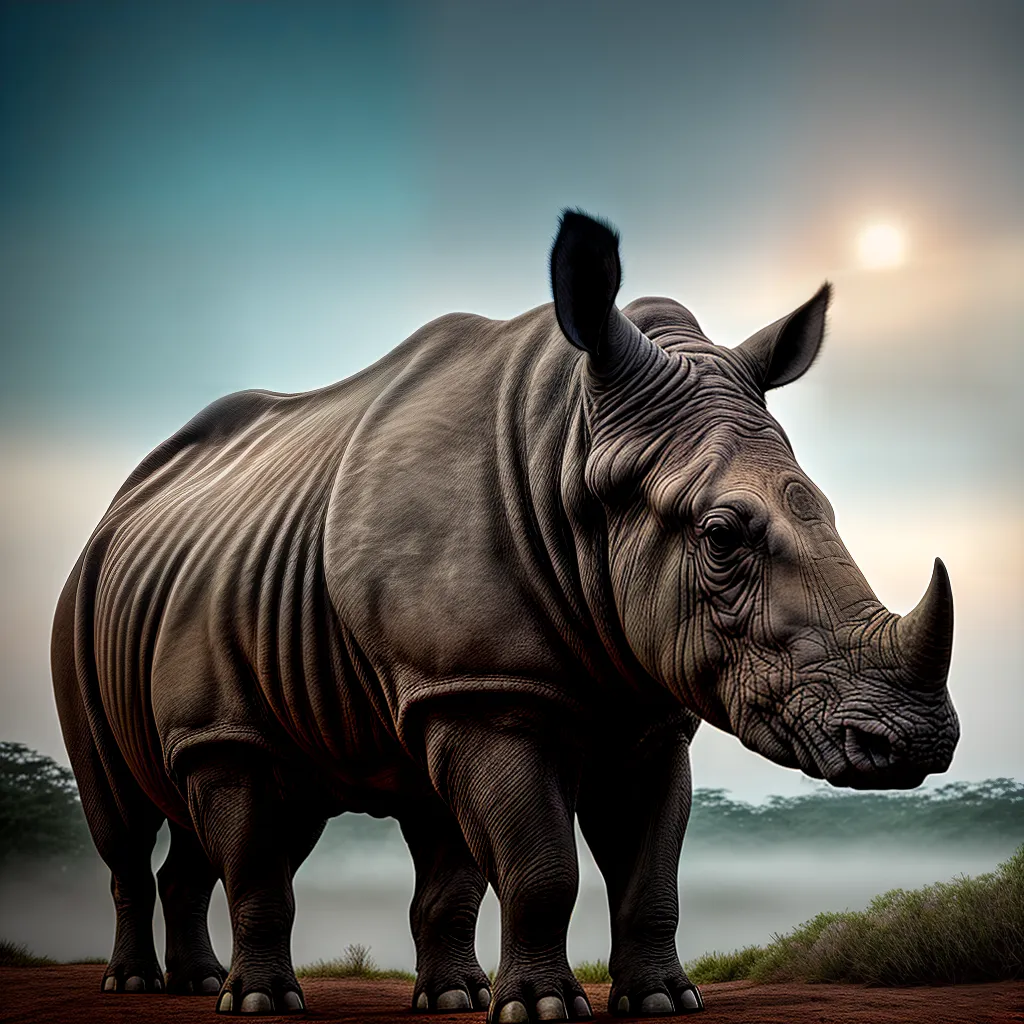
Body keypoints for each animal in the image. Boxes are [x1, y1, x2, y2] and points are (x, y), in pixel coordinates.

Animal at [52, 211, 959, 1021]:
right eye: (721, 536)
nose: (911, 743)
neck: (573, 456)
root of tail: (120, 508)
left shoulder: (634, 697)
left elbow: (648, 868)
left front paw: (657, 1002)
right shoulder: (479, 684)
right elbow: (541, 864)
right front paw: (539, 1011)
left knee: (265, 810)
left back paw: (278, 989)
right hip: (81, 611)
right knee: (168, 811)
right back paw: (199, 995)